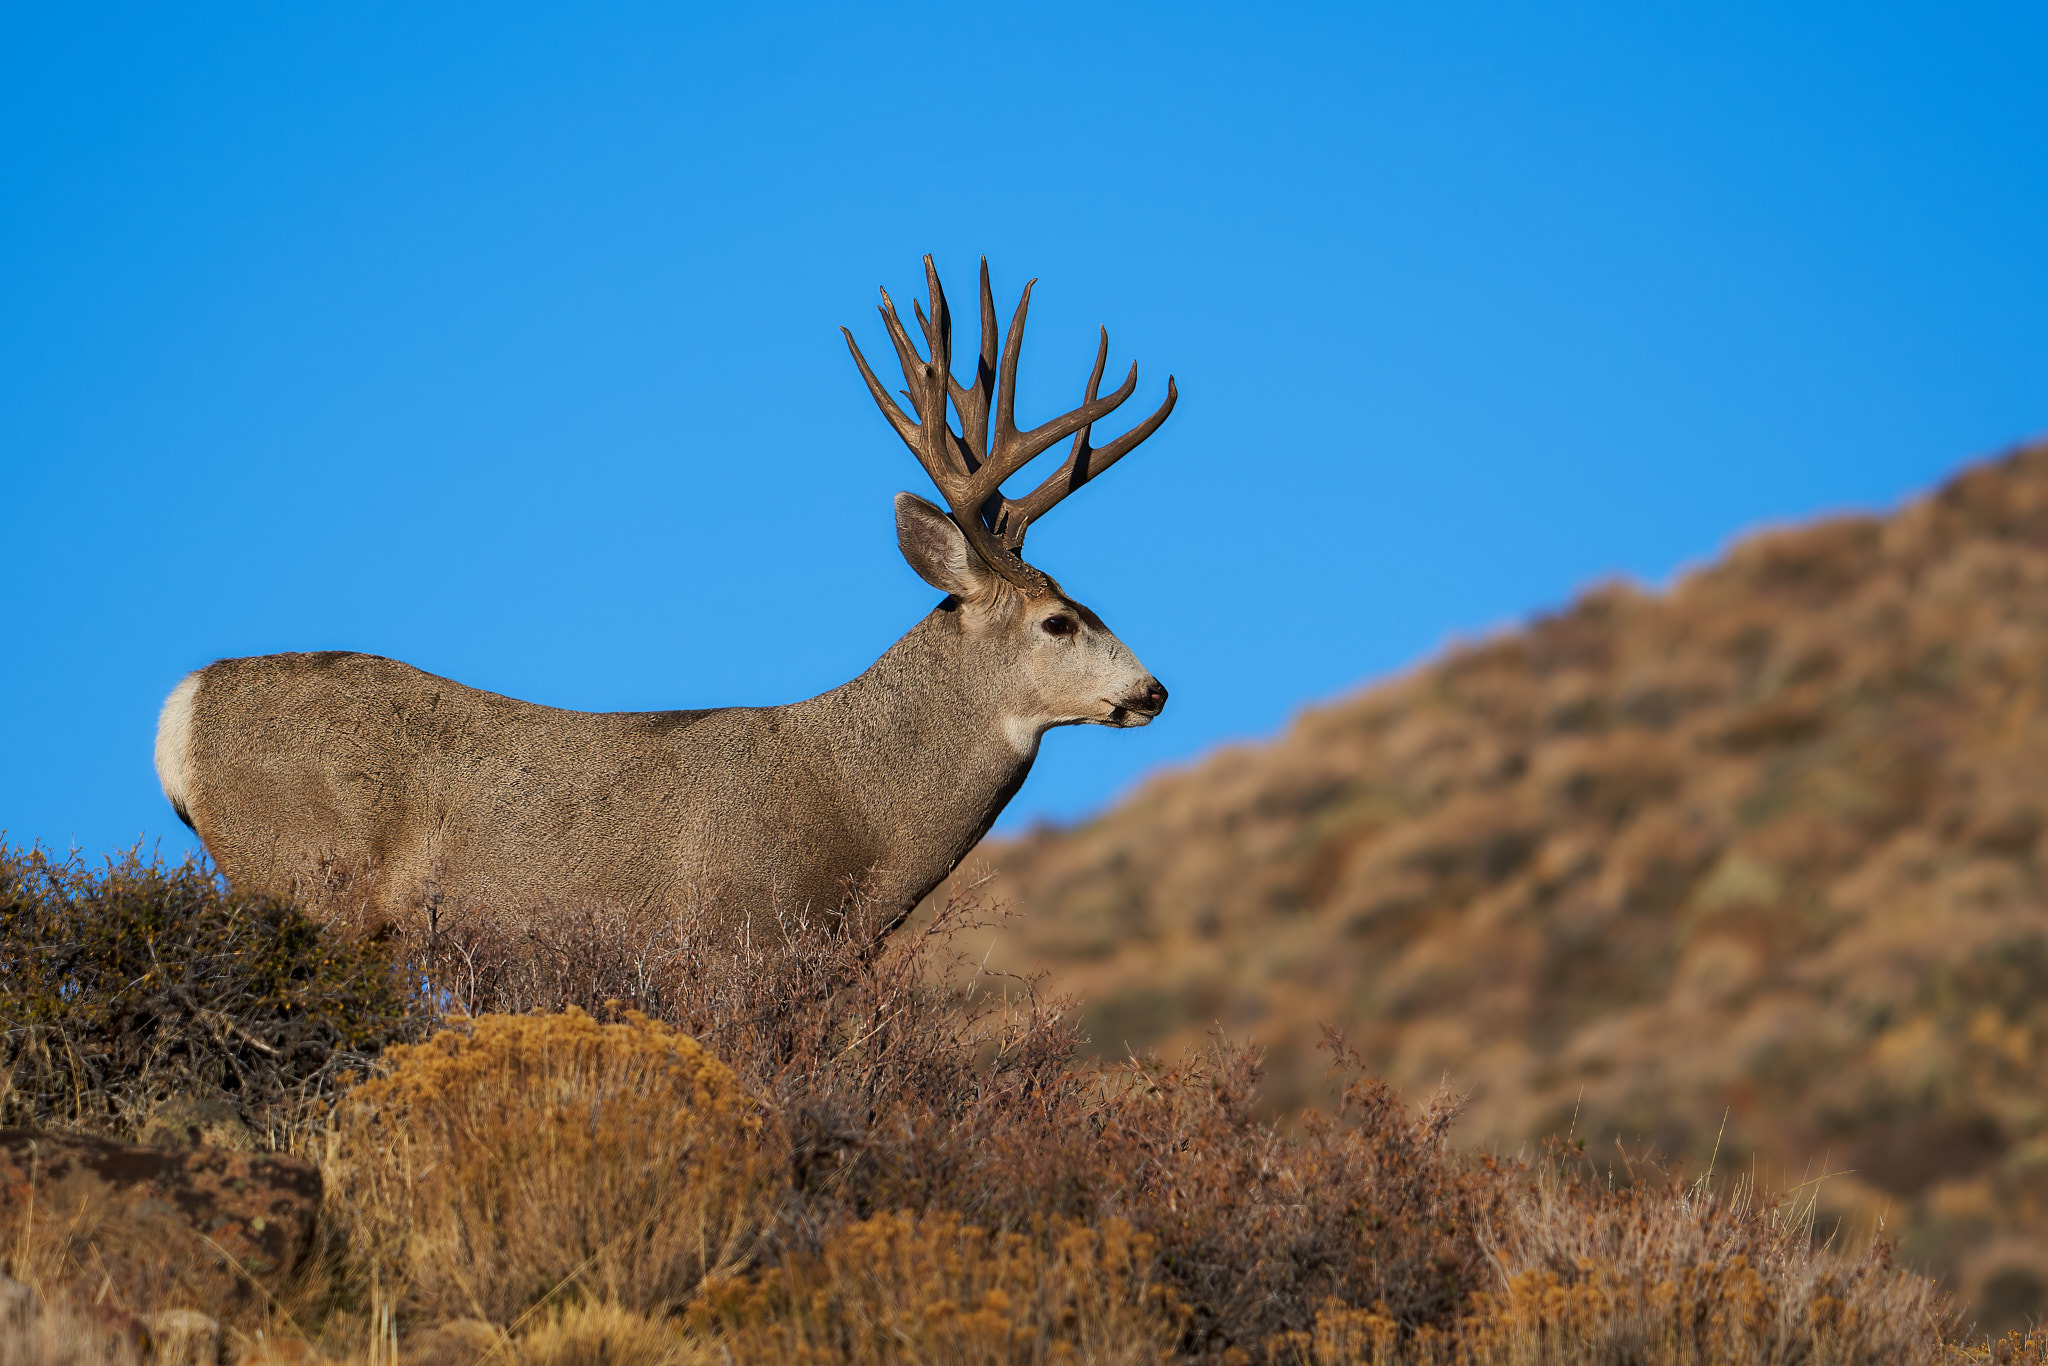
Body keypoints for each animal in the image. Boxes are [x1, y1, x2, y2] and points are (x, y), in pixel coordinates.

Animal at [154, 257, 1176, 945]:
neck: (861, 816)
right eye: (1058, 621)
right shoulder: (733, 938)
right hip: (307, 881)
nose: (1155, 690)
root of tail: (183, 710)